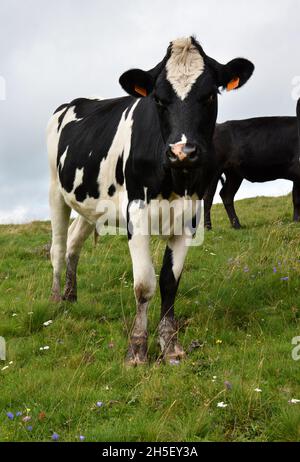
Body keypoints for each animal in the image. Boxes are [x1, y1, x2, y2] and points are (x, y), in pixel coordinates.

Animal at [48, 37, 254, 364]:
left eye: (210, 95)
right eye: (158, 99)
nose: (183, 152)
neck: (175, 180)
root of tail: (76, 101)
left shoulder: (190, 216)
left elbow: (170, 282)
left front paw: (170, 345)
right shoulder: (137, 212)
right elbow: (144, 284)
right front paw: (137, 349)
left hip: (91, 202)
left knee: (73, 242)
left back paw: (71, 296)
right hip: (56, 189)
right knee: (56, 246)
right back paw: (57, 299)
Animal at [205, 101, 300, 231]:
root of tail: (218, 125)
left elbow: (296, 198)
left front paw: (295, 221)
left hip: (234, 173)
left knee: (226, 195)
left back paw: (237, 225)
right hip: (215, 171)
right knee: (208, 197)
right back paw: (208, 227)